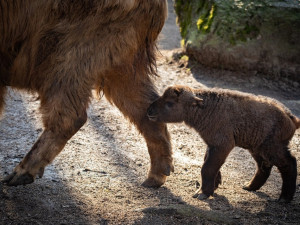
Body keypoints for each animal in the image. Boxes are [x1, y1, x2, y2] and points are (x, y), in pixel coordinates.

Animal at [0, 0, 173, 188]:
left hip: (69, 54)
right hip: (121, 64)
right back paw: (155, 176)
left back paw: (21, 173)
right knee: (145, 109)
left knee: (69, 116)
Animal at [148, 84, 300, 202]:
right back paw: (250, 186)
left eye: (169, 103)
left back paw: (284, 198)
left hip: (272, 147)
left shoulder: (223, 145)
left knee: (289, 163)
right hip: (257, 147)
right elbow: (209, 163)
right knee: (264, 167)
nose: (149, 110)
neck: (206, 108)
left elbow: (207, 167)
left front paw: (203, 193)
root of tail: (291, 117)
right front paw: (214, 185)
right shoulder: (212, 145)